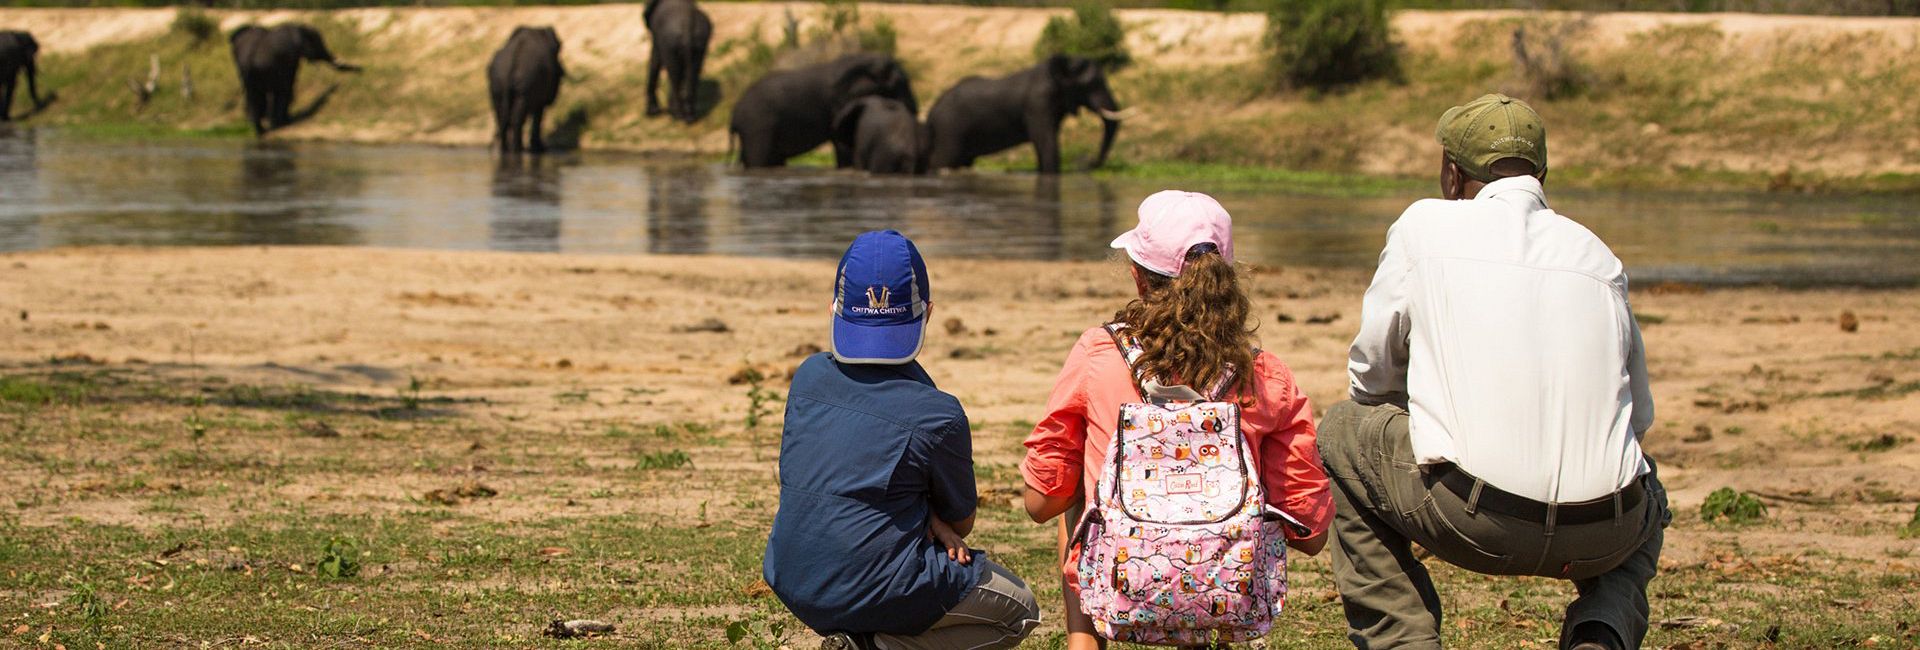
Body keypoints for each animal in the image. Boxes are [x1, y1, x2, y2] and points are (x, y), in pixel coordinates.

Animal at [229, 24, 360, 137]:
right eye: (318, 44)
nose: (361, 69)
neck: (300, 28)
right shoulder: (291, 57)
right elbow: (288, 86)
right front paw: (284, 123)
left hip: (246, 70)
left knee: (252, 95)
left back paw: (259, 130)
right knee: (258, 95)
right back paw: (263, 130)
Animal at [487, 26, 560, 154]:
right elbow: (538, 116)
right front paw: (539, 148)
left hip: (497, 82)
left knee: (501, 116)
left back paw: (504, 148)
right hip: (526, 82)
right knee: (517, 117)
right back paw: (517, 148)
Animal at [729, 53, 917, 169]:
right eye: (899, 84)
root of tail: (734, 114)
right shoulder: (840, 102)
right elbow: (843, 147)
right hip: (757, 128)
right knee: (760, 160)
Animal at [929, 54, 1121, 174]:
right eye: (1094, 84)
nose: (1090, 163)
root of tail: (932, 111)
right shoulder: (1038, 104)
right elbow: (1046, 142)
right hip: (949, 130)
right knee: (941, 160)